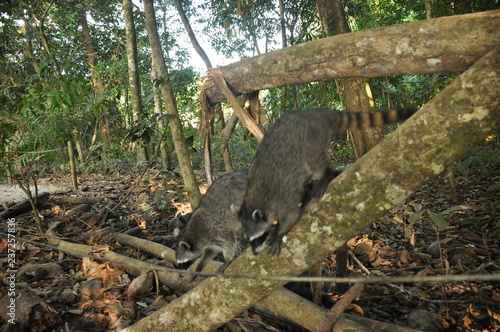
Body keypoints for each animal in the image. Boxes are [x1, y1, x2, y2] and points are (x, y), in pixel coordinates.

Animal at [232, 107, 420, 255]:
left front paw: (279, 234)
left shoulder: (282, 199)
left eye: (259, 238)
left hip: (312, 139)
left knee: (315, 163)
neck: (256, 201)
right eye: (249, 239)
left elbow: (292, 215)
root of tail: (315, 113)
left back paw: (325, 175)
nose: (255, 253)